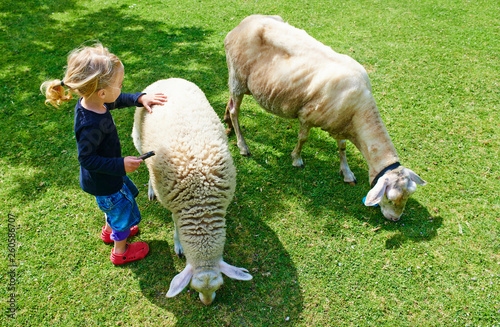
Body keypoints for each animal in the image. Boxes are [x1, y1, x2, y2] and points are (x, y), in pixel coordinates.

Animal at [131, 78, 252, 306]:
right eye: (193, 288)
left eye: (219, 286)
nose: (207, 304)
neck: (200, 200)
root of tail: (168, 78)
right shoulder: (174, 204)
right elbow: (176, 225)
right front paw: (178, 244)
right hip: (138, 140)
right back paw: (150, 189)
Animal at [226, 14, 426, 220]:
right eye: (390, 198)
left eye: (408, 196)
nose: (395, 219)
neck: (358, 114)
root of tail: (242, 24)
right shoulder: (306, 115)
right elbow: (303, 138)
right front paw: (296, 159)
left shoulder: (340, 125)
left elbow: (342, 147)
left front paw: (347, 172)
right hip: (237, 77)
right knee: (235, 110)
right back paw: (243, 145)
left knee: (230, 104)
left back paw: (228, 126)